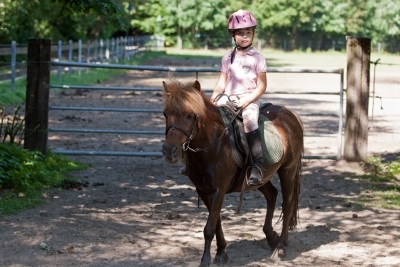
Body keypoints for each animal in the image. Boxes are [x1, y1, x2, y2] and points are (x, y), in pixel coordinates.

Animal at [161, 80, 302, 267]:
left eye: (190, 115)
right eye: (165, 114)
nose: (169, 151)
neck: (213, 146)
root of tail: (291, 115)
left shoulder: (218, 190)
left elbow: (209, 228)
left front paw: (205, 260)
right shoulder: (203, 190)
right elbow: (216, 223)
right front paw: (221, 252)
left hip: (288, 170)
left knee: (287, 204)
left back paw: (280, 247)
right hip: (259, 179)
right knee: (272, 195)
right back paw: (271, 236)